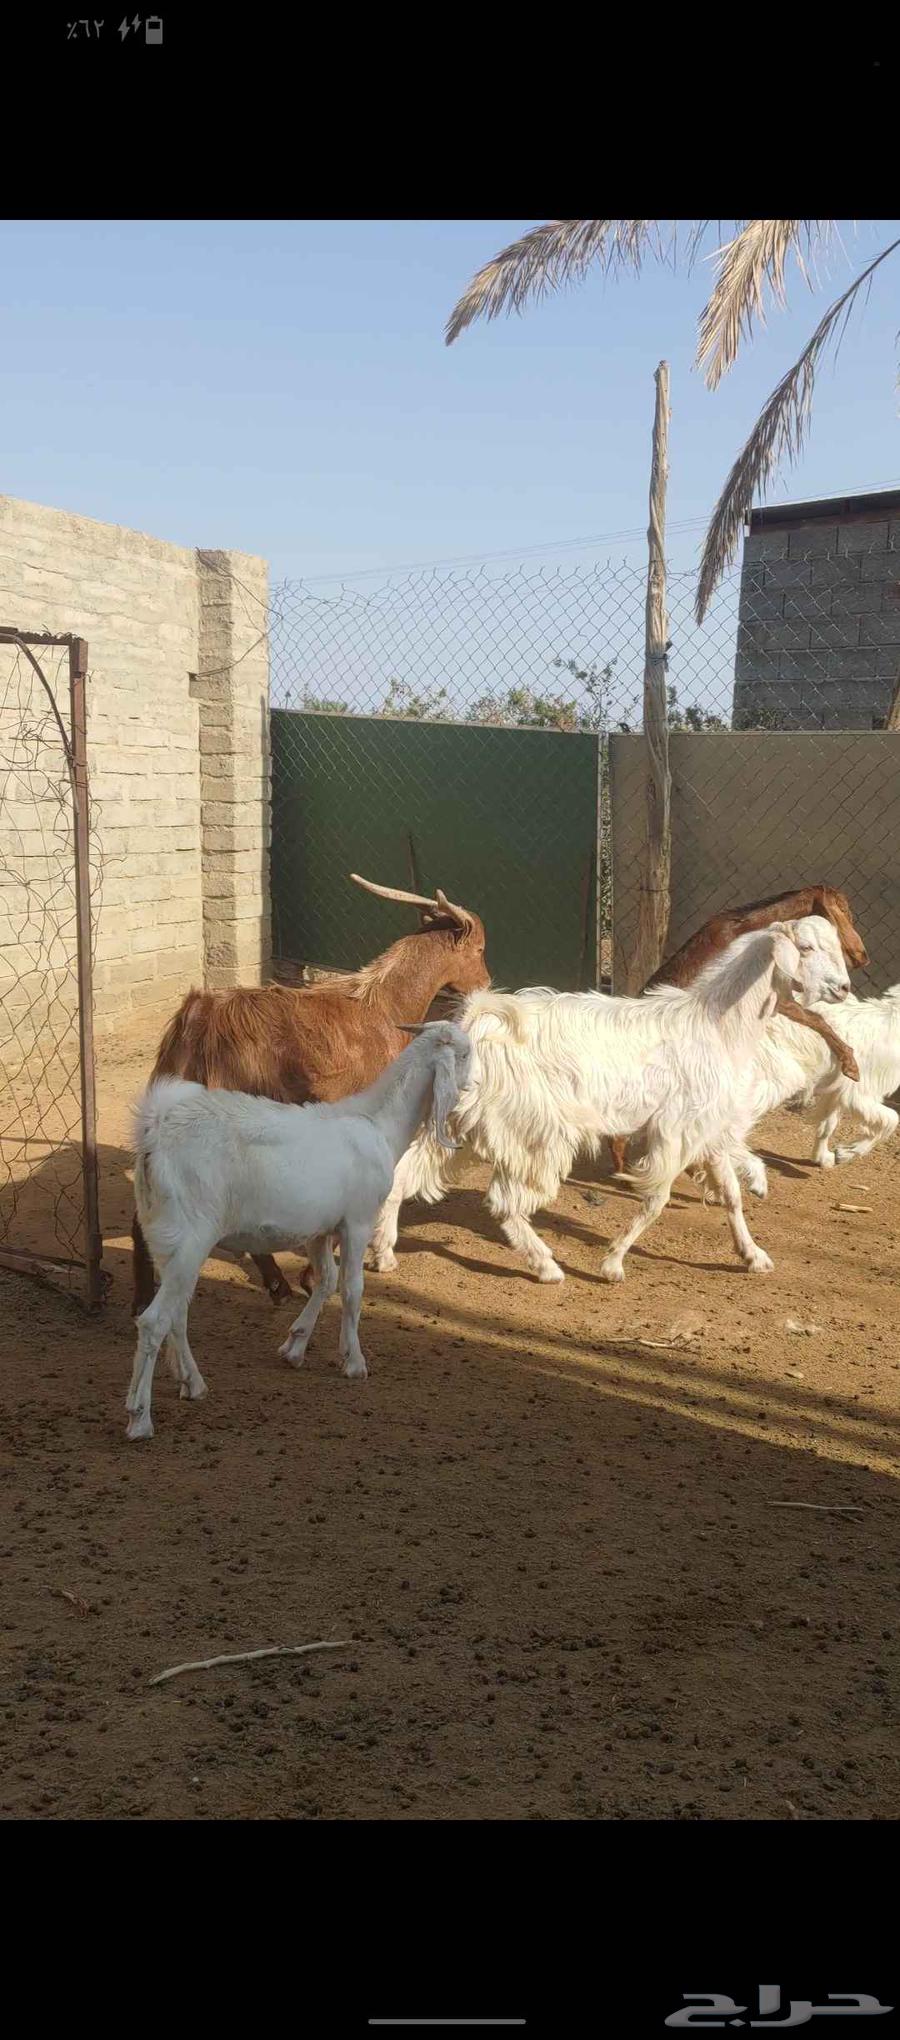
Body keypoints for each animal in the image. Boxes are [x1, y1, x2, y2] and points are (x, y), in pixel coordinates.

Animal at [126, 1020, 473, 1440]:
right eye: (466, 1053)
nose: (475, 1084)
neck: (378, 1123)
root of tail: (155, 1134)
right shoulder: (357, 1221)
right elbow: (352, 1289)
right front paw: (354, 1362)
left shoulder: (320, 1229)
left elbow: (326, 1280)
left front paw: (294, 1347)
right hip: (189, 1236)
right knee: (153, 1321)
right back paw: (140, 1418)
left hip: (167, 1238)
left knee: (177, 1312)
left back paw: (192, 1383)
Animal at [130, 872, 489, 1317]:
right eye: (479, 949)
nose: (485, 983)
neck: (385, 1006)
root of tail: (198, 1019)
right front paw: (316, 1272)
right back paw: (273, 1284)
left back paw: (146, 1297)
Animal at [368, 919, 850, 1287]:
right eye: (806, 947)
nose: (844, 988)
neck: (717, 1024)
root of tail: (478, 1022)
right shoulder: (675, 1130)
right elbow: (657, 1201)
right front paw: (613, 1262)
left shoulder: (706, 1129)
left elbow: (731, 1195)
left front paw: (753, 1255)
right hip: (533, 1131)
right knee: (504, 1203)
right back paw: (547, 1267)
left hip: (459, 1124)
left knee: (403, 1174)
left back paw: (383, 1253)